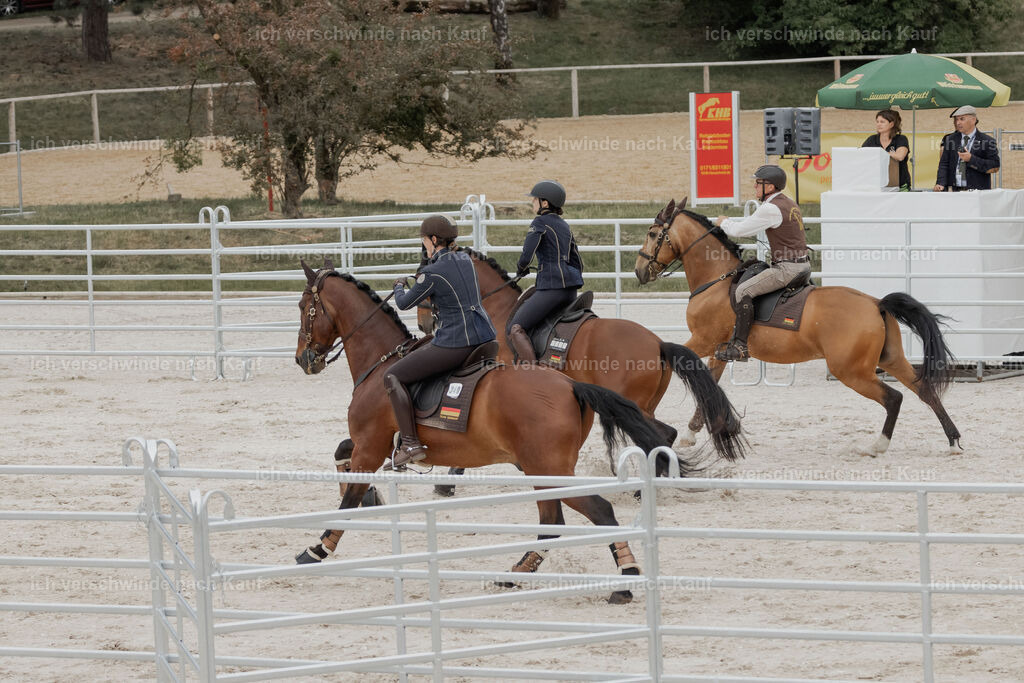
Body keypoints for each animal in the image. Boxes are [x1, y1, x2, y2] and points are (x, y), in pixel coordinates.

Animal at [294, 260, 708, 602]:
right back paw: (519, 571)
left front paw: (317, 549)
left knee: (598, 509)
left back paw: (625, 578)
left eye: (303, 308)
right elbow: (342, 454)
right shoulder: (371, 444)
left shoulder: (370, 445)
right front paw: (368, 496)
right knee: (555, 521)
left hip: (551, 468)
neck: (382, 360)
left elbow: (346, 499)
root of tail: (570, 386)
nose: (304, 359)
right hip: (547, 470)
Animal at [415, 247, 744, 467]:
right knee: (662, 435)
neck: (498, 310)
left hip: (635, 404)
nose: (423, 324)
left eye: (423, 280)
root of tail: (659, 343)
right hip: (643, 405)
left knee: (660, 434)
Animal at [634, 199, 961, 457]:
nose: (639, 271)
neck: (717, 280)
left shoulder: (701, 340)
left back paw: (877, 446)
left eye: (653, 233)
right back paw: (953, 440)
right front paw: (691, 432)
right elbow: (707, 384)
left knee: (894, 398)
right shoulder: (717, 350)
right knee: (925, 390)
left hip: (852, 371)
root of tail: (876, 303)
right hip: (890, 360)